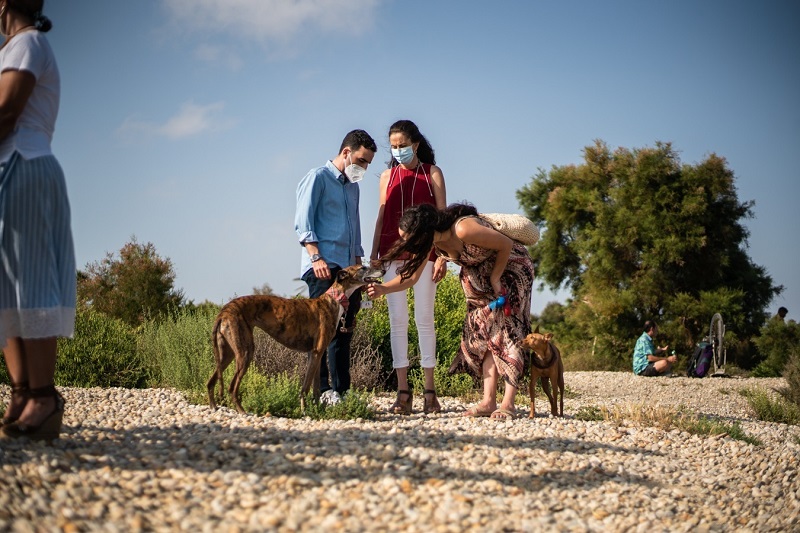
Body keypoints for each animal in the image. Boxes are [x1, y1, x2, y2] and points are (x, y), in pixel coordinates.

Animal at [205, 264, 382, 414]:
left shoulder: (316, 354)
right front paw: (304, 411)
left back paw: (214, 407)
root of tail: (224, 311)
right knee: (232, 387)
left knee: (210, 382)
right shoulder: (317, 352)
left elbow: (316, 388)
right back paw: (242, 412)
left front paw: (318, 410)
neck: (334, 299)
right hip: (245, 352)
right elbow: (305, 387)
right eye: (362, 268)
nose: (383, 270)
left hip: (228, 353)